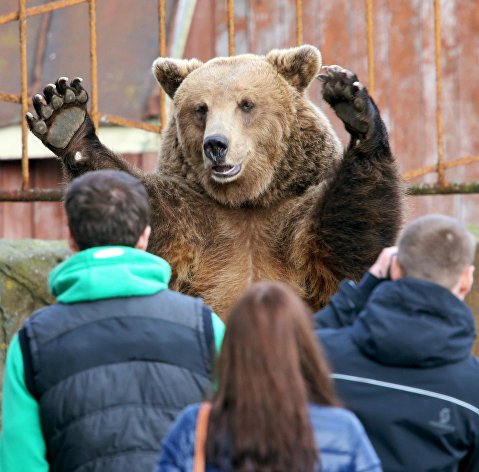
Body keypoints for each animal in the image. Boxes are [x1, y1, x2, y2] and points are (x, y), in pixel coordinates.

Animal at [25, 45, 402, 318]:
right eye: (201, 108)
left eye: (246, 104)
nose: (216, 144)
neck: (248, 200)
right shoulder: (192, 218)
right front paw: (63, 114)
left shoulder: (294, 214)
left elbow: (350, 236)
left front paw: (354, 106)